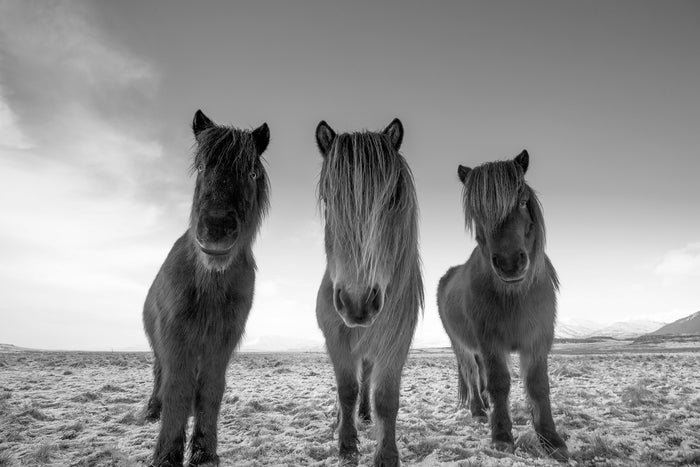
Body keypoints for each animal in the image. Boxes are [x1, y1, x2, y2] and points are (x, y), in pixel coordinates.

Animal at [142, 110, 270, 467]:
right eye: (201, 167)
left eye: (251, 171)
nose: (216, 230)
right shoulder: (176, 337)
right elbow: (177, 389)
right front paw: (167, 454)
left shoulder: (222, 340)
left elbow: (211, 391)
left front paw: (204, 451)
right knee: (160, 374)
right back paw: (153, 410)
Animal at [314, 119, 423, 467]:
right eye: (328, 200)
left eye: (391, 200)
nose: (356, 302)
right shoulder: (337, 338)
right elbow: (346, 389)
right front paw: (347, 443)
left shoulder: (395, 342)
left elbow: (386, 399)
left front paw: (386, 454)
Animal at [437, 150, 569, 461]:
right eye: (477, 213)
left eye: (522, 200)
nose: (509, 263)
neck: (514, 296)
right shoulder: (491, 342)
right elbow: (499, 384)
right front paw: (501, 437)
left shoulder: (537, 340)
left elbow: (537, 386)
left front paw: (551, 439)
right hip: (462, 346)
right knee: (472, 374)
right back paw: (478, 410)